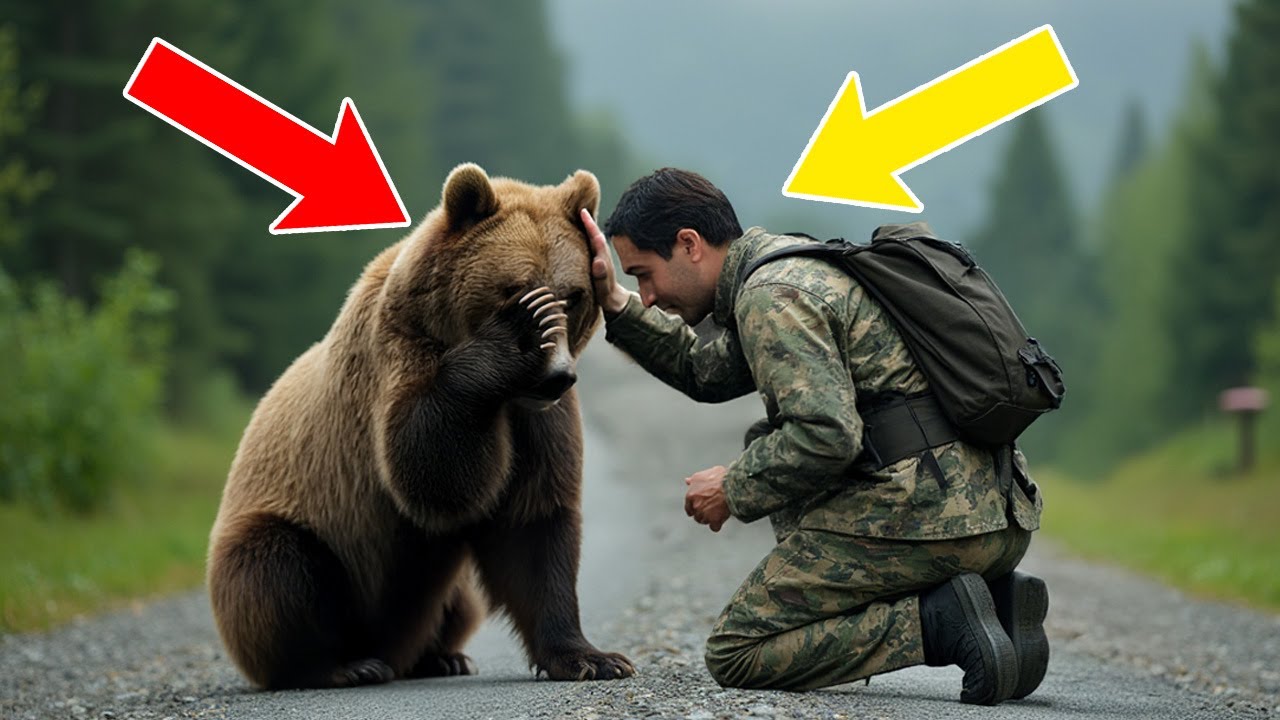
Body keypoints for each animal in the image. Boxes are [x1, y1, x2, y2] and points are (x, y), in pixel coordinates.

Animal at [206, 162, 634, 690]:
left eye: (573, 296)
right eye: (516, 288)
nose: (556, 375)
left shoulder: (538, 419)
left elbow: (534, 522)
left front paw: (592, 658)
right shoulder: (392, 360)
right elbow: (429, 468)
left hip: (441, 593)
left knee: (458, 602)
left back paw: (441, 656)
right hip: (295, 520)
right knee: (278, 568)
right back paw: (341, 665)